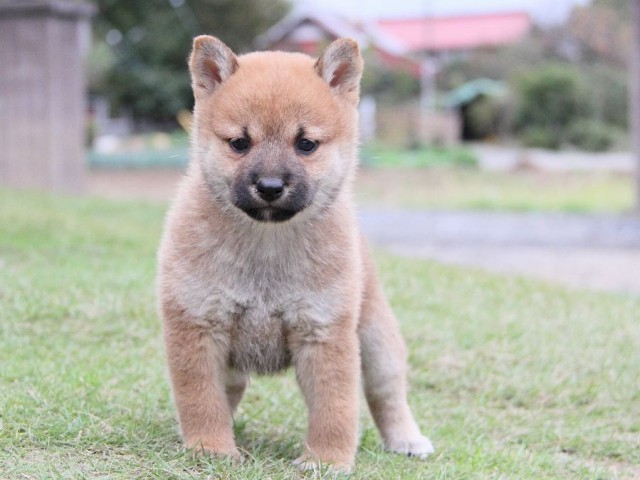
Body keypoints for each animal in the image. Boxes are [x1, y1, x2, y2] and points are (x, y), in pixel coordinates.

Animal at [157, 34, 432, 472]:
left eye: (305, 145)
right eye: (240, 143)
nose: (270, 186)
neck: (267, 244)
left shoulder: (324, 331)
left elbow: (335, 407)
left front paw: (327, 460)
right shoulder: (197, 325)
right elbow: (201, 400)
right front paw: (211, 448)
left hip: (377, 341)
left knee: (387, 393)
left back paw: (406, 438)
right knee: (229, 391)